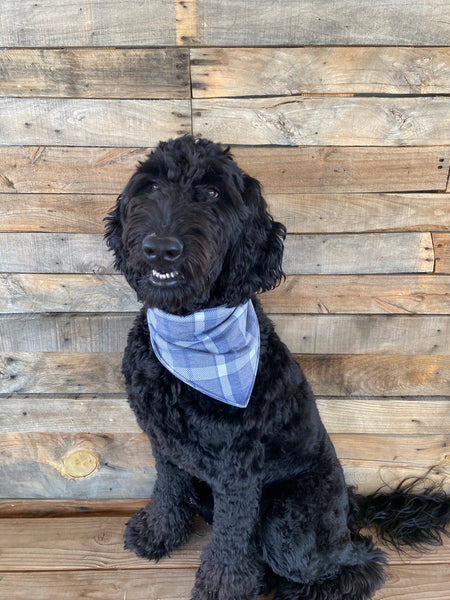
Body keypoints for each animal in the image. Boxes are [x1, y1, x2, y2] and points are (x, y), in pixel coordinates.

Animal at [104, 136, 446, 600]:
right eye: (151, 185)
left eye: (211, 193)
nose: (160, 247)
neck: (189, 334)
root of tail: (349, 506)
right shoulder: (164, 442)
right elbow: (168, 489)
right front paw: (158, 534)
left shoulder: (238, 466)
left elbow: (231, 536)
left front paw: (223, 588)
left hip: (292, 521)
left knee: (357, 562)